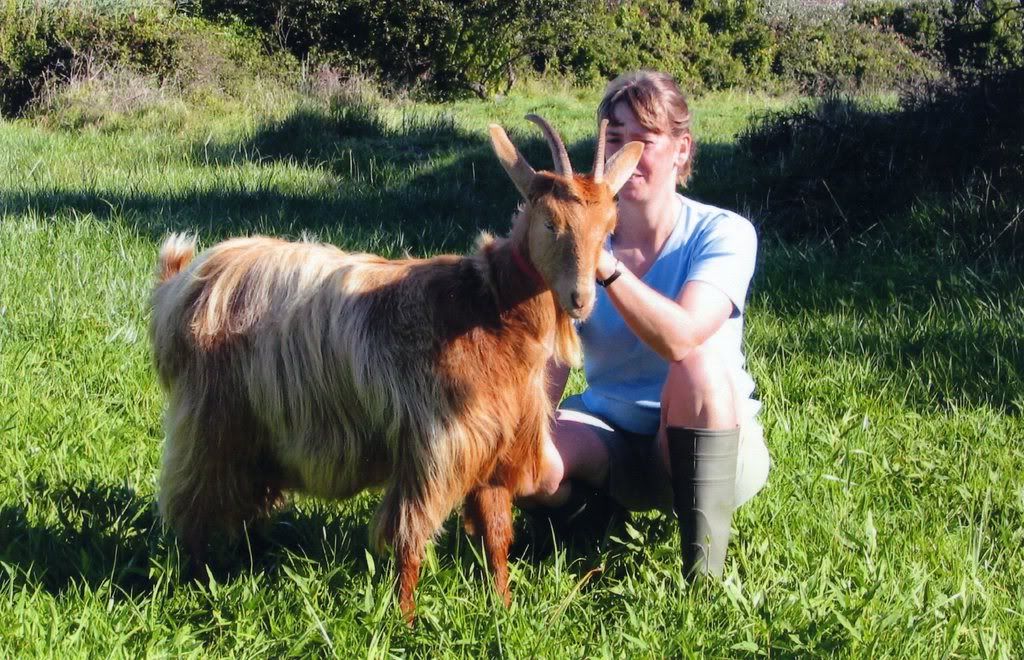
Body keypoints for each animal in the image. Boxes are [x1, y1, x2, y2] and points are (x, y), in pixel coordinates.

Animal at [149, 115, 643, 620]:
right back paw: (195, 579)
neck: (485, 307)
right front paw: (405, 619)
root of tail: (179, 284)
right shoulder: (431, 447)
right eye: (549, 222)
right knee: (191, 501)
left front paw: (502, 607)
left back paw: (251, 556)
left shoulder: (494, 451)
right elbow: (411, 538)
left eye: (608, 228)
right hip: (209, 420)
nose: (580, 299)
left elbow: (497, 536)